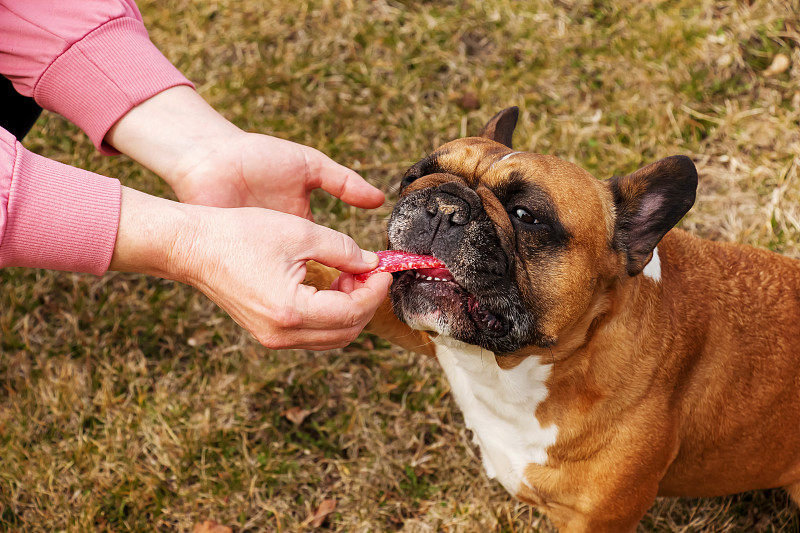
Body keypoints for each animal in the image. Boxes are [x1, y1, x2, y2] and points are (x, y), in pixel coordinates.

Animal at [304, 106, 800, 528]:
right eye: (414, 176)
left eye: (526, 216)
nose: (443, 204)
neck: (514, 369)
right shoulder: (427, 332)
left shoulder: (598, 521)